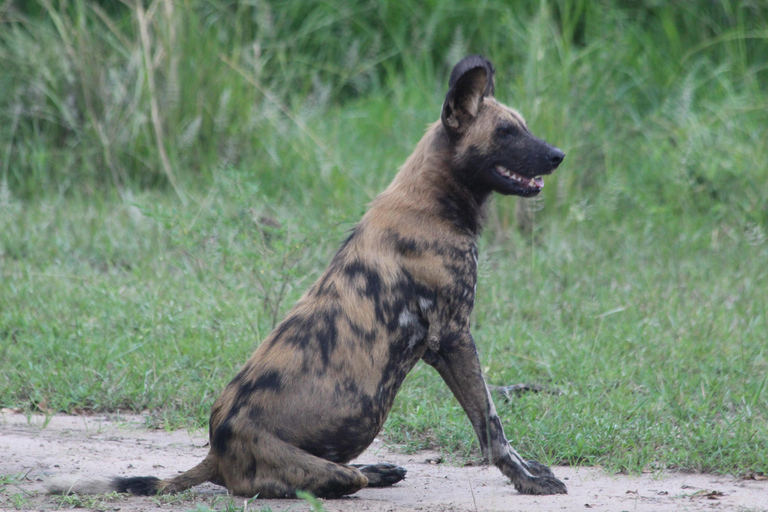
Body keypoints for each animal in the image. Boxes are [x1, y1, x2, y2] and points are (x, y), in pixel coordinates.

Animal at [48, 55, 564, 496]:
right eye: (505, 132)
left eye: (523, 126)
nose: (558, 154)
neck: (435, 202)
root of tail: (215, 452)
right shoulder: (453, 337)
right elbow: (491, 426)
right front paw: (528, 480)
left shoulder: (447, 342)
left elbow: (490, 421)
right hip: (311, 470)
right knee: (338, 479)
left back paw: (380, 469)